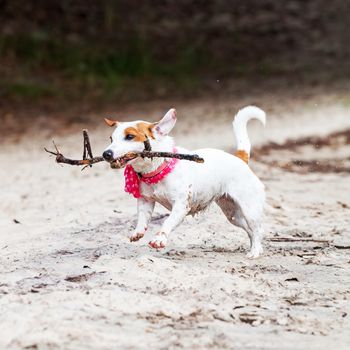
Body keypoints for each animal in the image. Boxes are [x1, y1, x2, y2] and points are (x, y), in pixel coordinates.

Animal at [102, 105, 266, 258]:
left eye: (130, 136)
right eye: (111, 139)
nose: (106, 154)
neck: (159, 169)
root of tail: (240, 159)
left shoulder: (180, 206)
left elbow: (167, 222)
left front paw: (159, 239)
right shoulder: (146, 201)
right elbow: (142, 218)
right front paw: (138, 232)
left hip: (249, 209)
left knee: (257, 229)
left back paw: (255, 252)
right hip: (233, 215)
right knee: (250, 231)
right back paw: (255, 248)